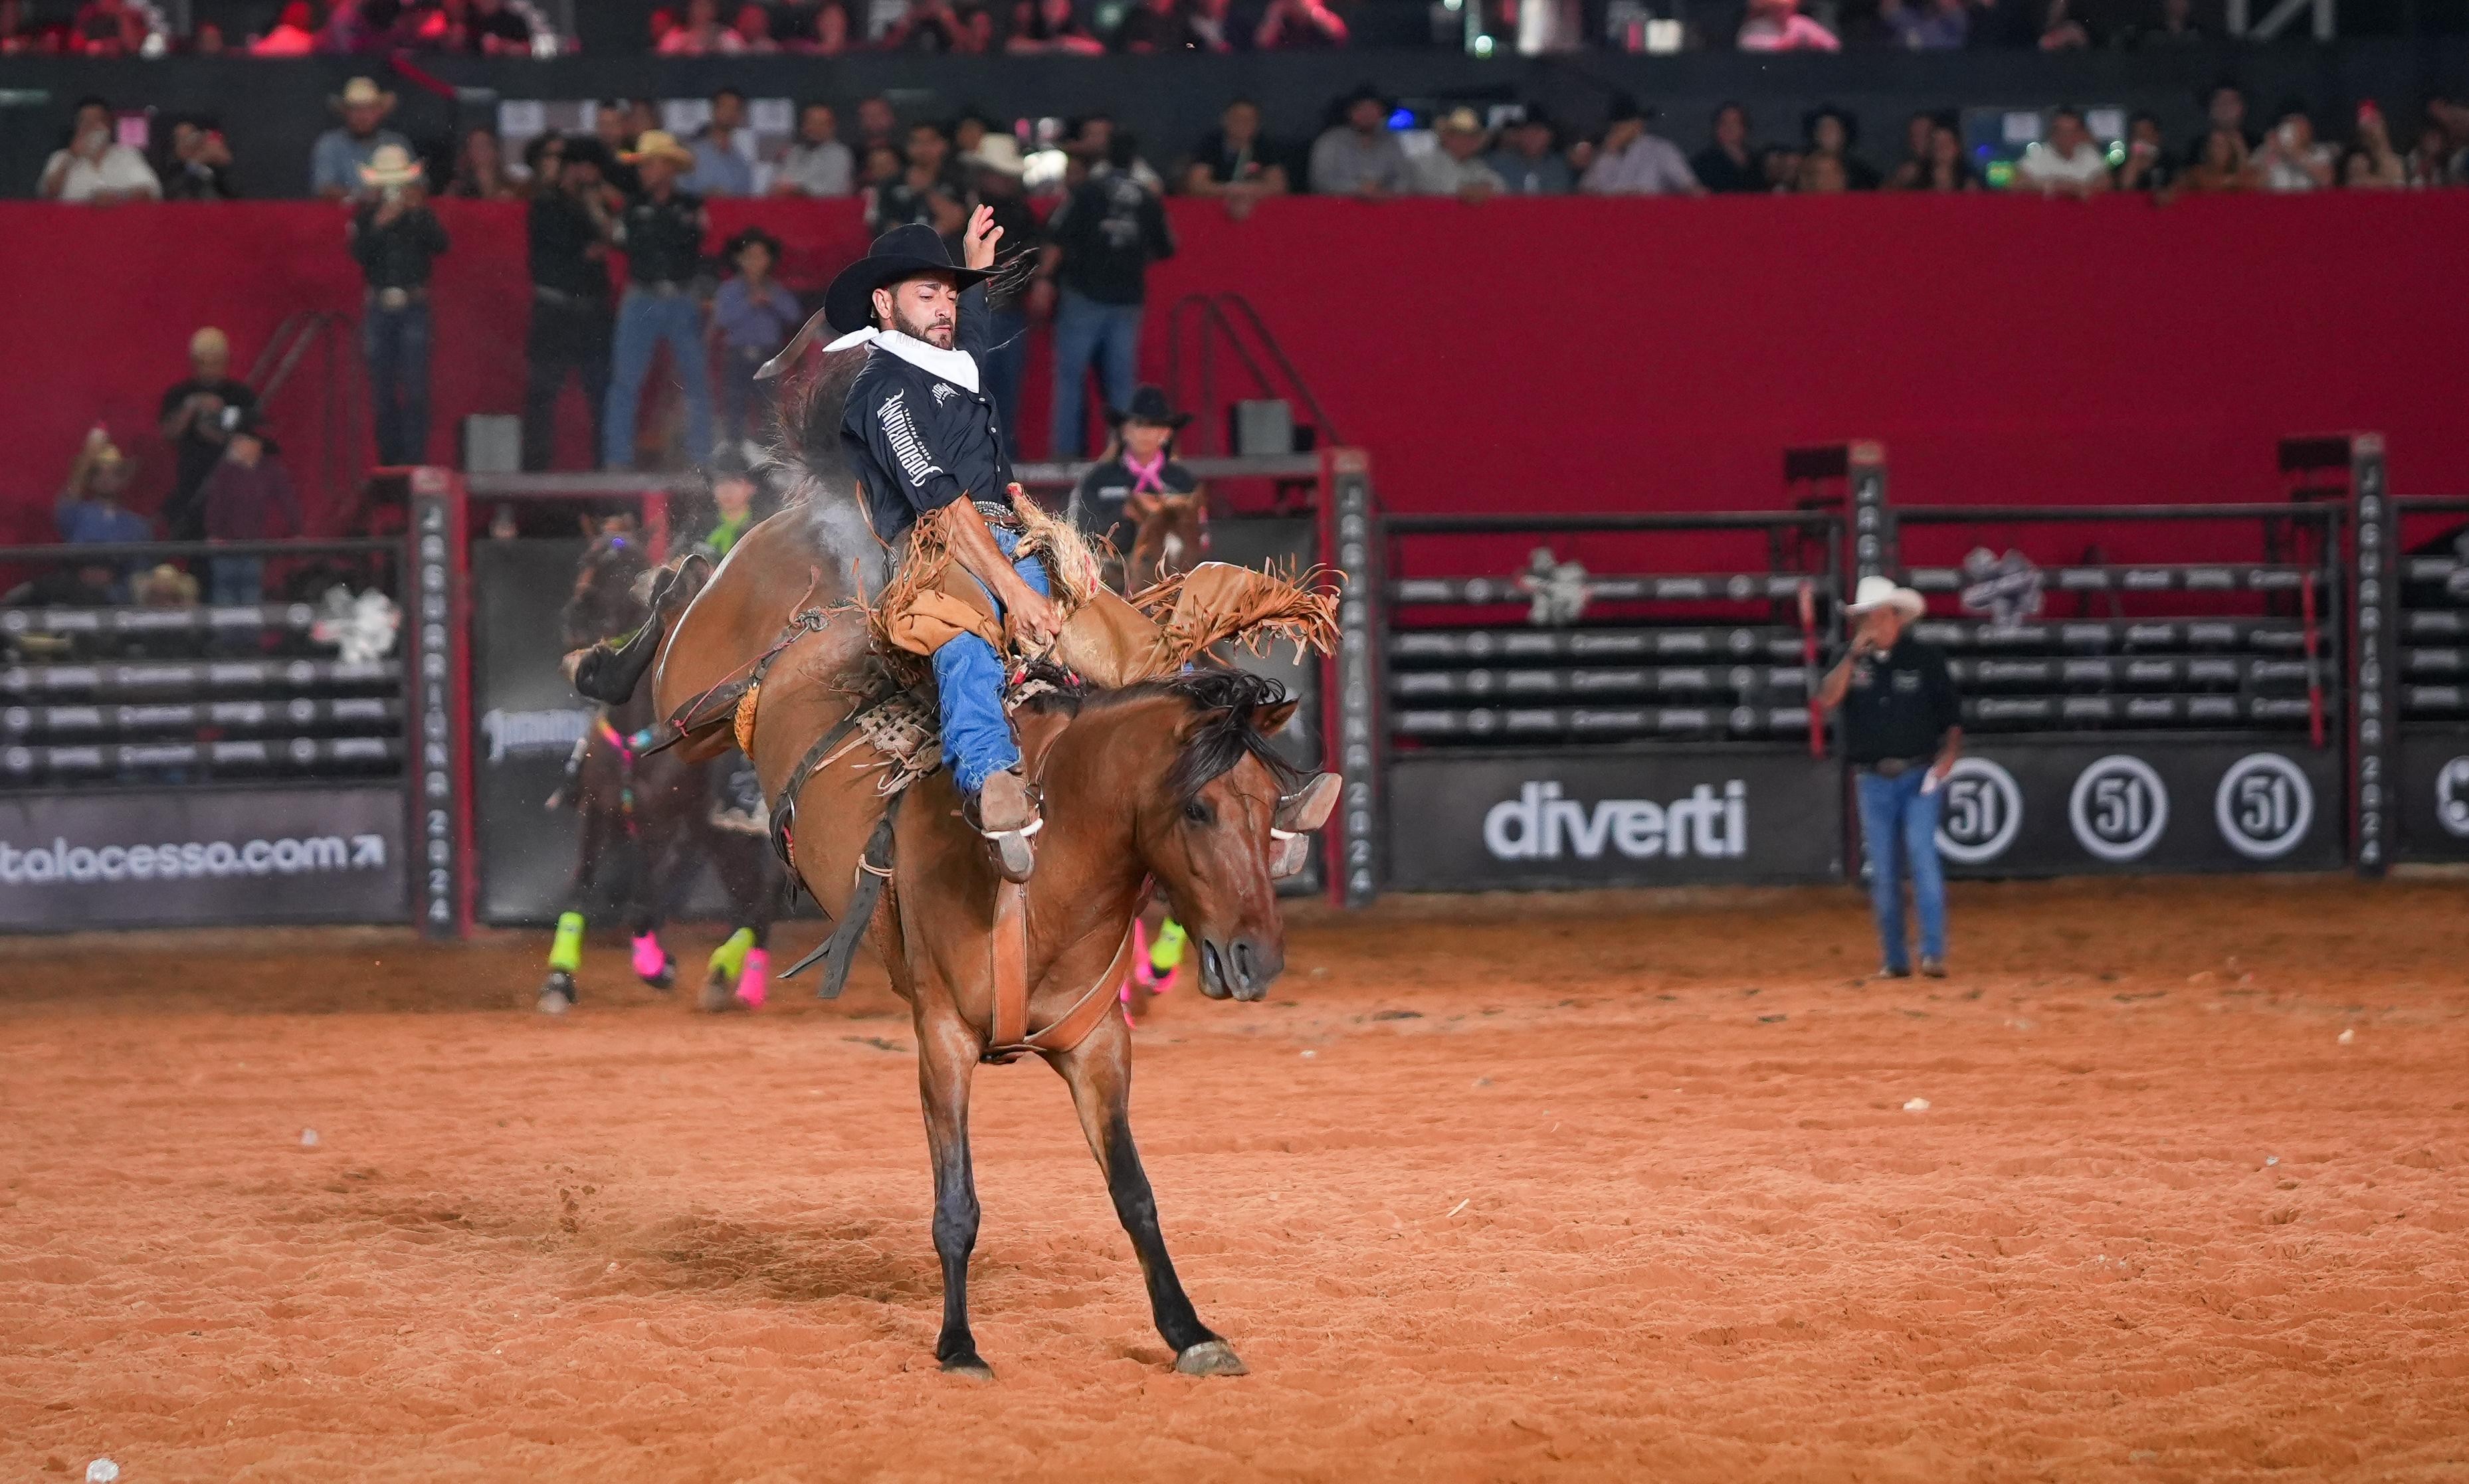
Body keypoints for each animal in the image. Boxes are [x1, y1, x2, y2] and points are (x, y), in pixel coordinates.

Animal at [545, 523, 785, 1017]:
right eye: (584, 560)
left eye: (622, 569)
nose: (575, 615)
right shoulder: (597, 815)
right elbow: (582, 889)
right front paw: (560, 979)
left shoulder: (666, 826)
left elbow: (644, 900)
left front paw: (657, 967)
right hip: (722, 841)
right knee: (746, 896)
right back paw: (724, 974)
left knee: (763, 902)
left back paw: (738, 979)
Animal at [570, 488, 1343, 1372]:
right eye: (1198, 808)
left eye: (1270, 809)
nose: (1257, 959)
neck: (1049, 858)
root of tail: (830, 615)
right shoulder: (939, 1037)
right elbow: (957, 1204)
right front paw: (957, 1342)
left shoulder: (1097, 1046)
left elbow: (1135, 1193)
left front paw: (1189, 1330)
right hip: (689, 682)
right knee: (678, 597)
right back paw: (603, 657)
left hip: (714, 721)